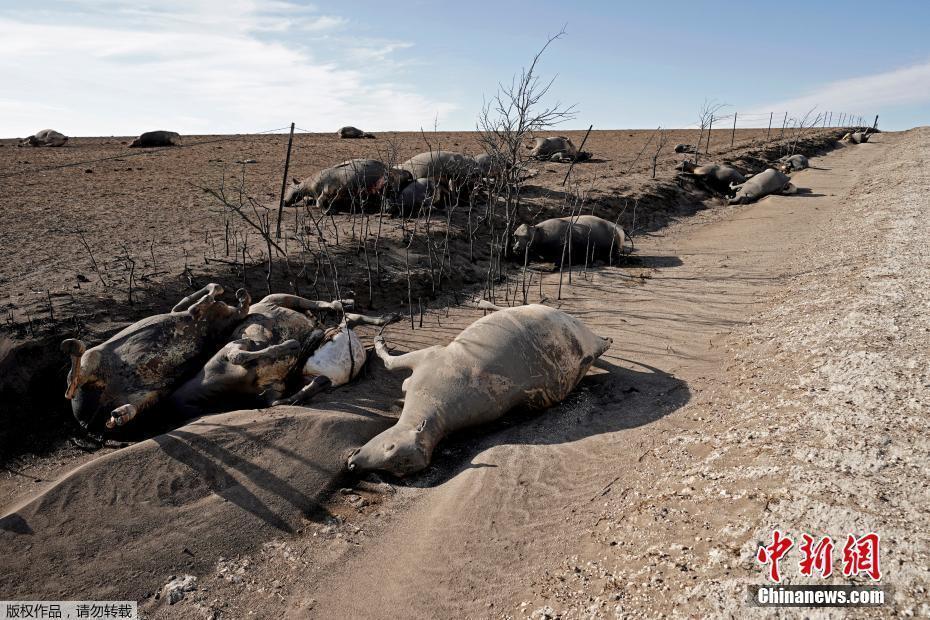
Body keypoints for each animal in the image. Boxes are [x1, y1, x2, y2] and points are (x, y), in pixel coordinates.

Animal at [61, 284, 250, 432]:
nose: (239, 294)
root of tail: (87, 422)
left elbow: (210, 302)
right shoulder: (189, 312)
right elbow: (201, 298)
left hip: (146, 395)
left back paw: (119, 415)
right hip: (97, 358)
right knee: (76, 378)